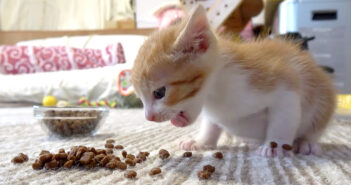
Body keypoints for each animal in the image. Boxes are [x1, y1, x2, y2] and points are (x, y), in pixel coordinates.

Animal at [131, 5, 336, 157]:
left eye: (159, 93)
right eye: (140, 98)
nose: (149, 117)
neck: (216, 92)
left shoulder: (284, 87)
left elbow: (283, 120)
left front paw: (276, 145)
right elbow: (211, 126)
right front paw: (201, 142)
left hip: (322, 99)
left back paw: (306, 143)